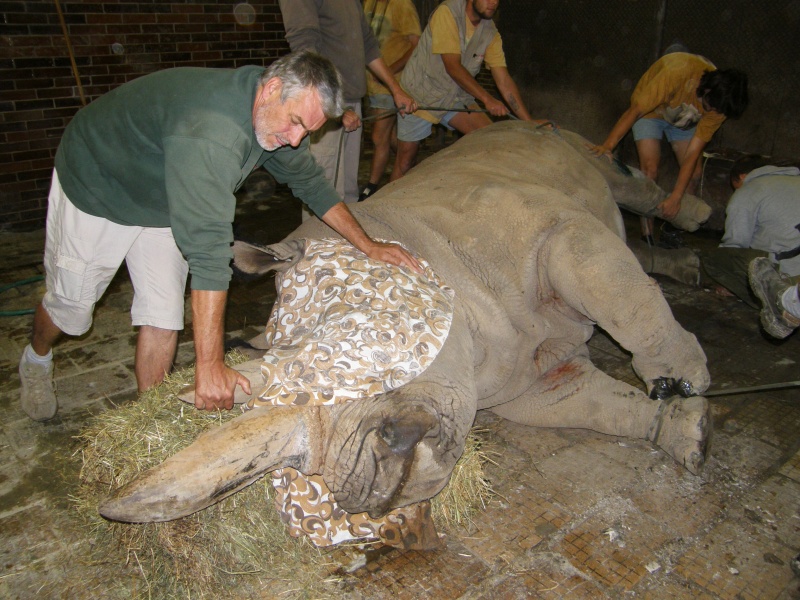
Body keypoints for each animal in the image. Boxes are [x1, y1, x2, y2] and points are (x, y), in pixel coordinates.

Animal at [98, 122, 711, 548]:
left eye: (346, 340)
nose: (364, 487)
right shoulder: (524, 382)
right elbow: (597, 404)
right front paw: (686, 432)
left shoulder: (548, 234)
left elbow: (613, 290)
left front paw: (683, 379)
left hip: (543, 145)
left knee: (615, 182)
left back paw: (697, 220)